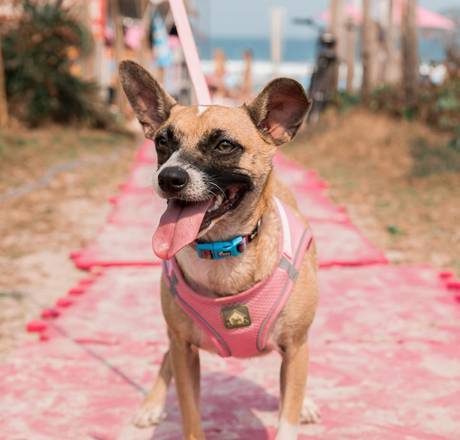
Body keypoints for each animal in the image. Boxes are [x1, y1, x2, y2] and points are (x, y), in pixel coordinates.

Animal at [119, 60, 319, 439]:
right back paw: (151, 405)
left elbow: (288, 414)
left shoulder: (296, 347)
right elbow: (190, 415)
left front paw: (298, 410)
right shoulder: (184, 350)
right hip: (177, 338)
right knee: (167, 356)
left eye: (225, 145)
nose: (169, 177)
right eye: (163, 141)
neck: (223, 249)